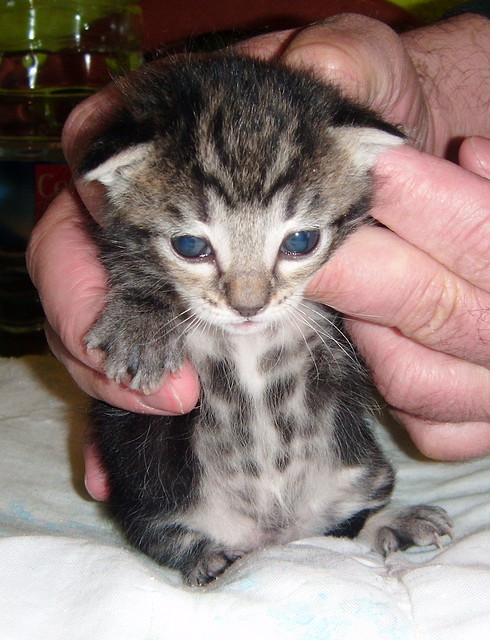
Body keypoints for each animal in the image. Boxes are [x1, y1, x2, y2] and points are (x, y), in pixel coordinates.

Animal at [80, 53, 452, 584]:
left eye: (300, 242)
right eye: (190, 245)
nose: (248, 306)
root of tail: (278, 535)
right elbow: (128, 264)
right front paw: (141, 320)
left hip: (362, 471)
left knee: (349, 526)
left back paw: (396, 521)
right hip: (151, 497)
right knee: (166, 536)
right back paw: (209, 561)